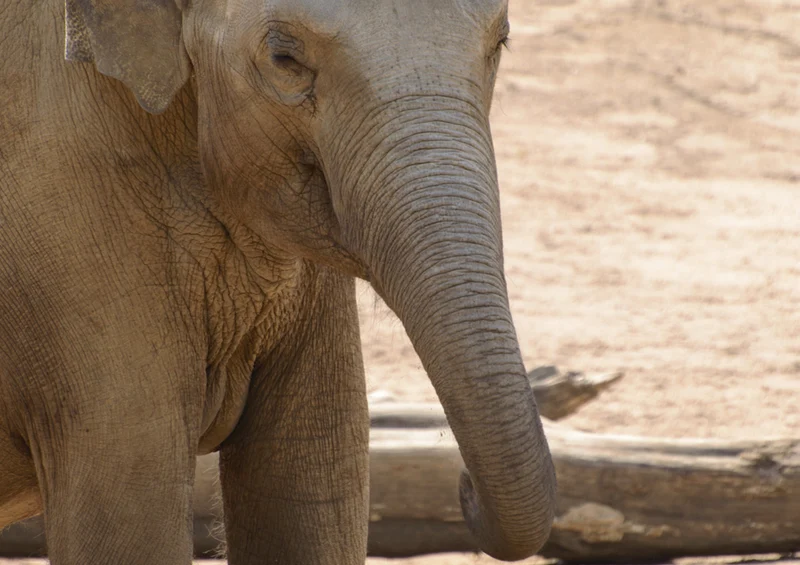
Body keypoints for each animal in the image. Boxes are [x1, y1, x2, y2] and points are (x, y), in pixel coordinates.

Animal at [0, 0, 557, 562]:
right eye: (283, 57)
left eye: (501, 41)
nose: (462, 487)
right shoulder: (68, 224)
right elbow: (131, 525)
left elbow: (308, 503)